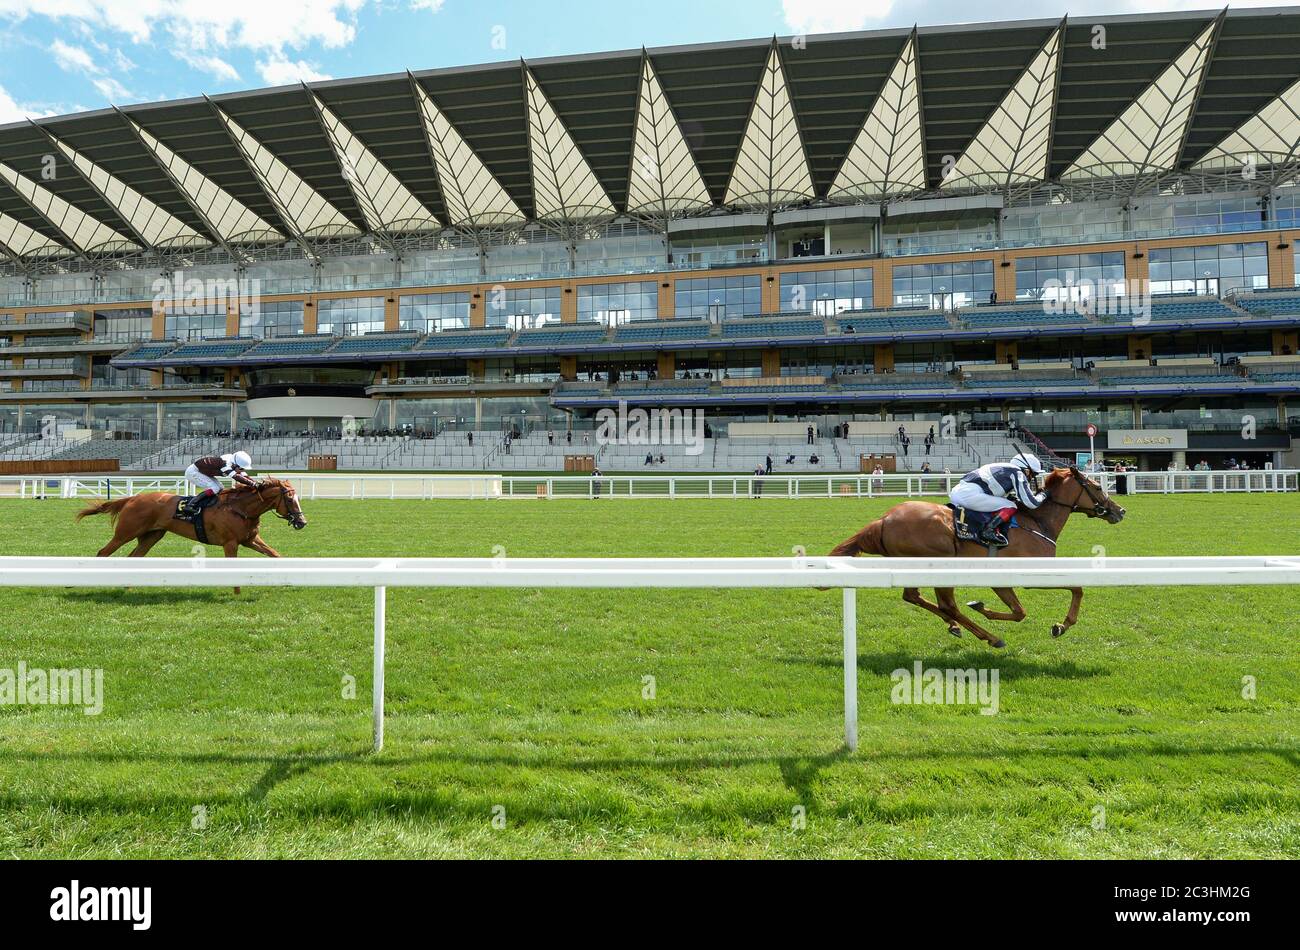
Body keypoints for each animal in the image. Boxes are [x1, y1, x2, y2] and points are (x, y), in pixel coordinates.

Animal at [76, 478, 306, 577]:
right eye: (290, 499)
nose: (302, 522)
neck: (239, 507)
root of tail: (132, 498)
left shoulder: (250, 540)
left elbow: (275, 555)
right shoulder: (230, 543)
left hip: (152, 536)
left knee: (134, 557)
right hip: (125, 533)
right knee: (103, 552)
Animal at [832, 465, 1128, 649]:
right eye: (1096, 486)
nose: (1120, 510)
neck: (1037, 521)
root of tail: (884, 519)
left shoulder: (1002, 578)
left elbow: (1020, 611)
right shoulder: (1029, 573)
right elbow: (1074, 589)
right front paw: (1061, 625)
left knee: (915, 597)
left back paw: (956, 626)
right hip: (941, 565)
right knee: (947, 605)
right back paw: (990, 637)